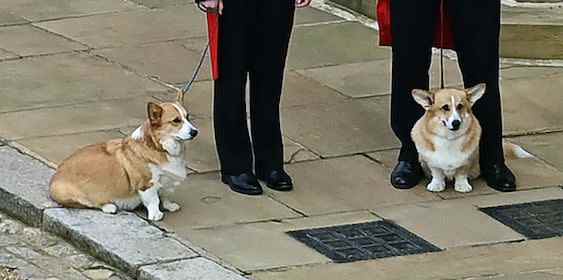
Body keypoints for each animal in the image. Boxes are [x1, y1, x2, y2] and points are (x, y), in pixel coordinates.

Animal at [49, 92, 198, 221]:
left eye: (188, 117)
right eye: (176, 120)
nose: (195, 132)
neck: (159, 147)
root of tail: (55, 176)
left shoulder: (166, 181)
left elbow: (165, 195)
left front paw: (169, 206)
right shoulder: (147, 184)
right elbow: (154, 199)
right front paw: (156, 214)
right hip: (71, 194)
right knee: (87, 204)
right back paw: (109, 206)